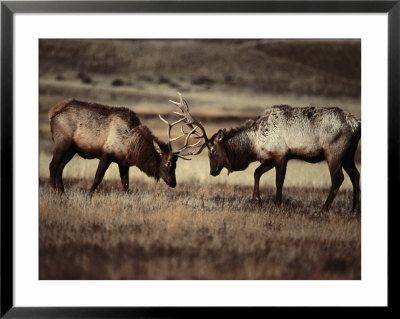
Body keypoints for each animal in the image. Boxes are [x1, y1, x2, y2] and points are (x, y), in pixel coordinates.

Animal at [48, 99, 194, 195]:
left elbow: (125, 185)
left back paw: (62, 193)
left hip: (71, 150)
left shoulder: (123, 163)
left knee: (60, 168)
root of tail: (52, 113)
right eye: (168, 163)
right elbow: (97, 178)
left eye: (176, 163)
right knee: (53, 166)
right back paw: (54, 192)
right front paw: (88, 196)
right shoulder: (106, 155)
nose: (173, 183)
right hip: (62, 143)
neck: (133, 145)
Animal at [167, 92, 360, 214]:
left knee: (338, 178)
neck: (254, 144)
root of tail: (356, 124)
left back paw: (323, 209)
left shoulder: (282, 155)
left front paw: (277, 205)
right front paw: (257, 200)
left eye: (212, 150)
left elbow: (278, 181)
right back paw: (354, 210)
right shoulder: (268, 158)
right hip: (349, 154)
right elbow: (256, 172)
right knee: (355, 175)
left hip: (334, 152)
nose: (212, 171)